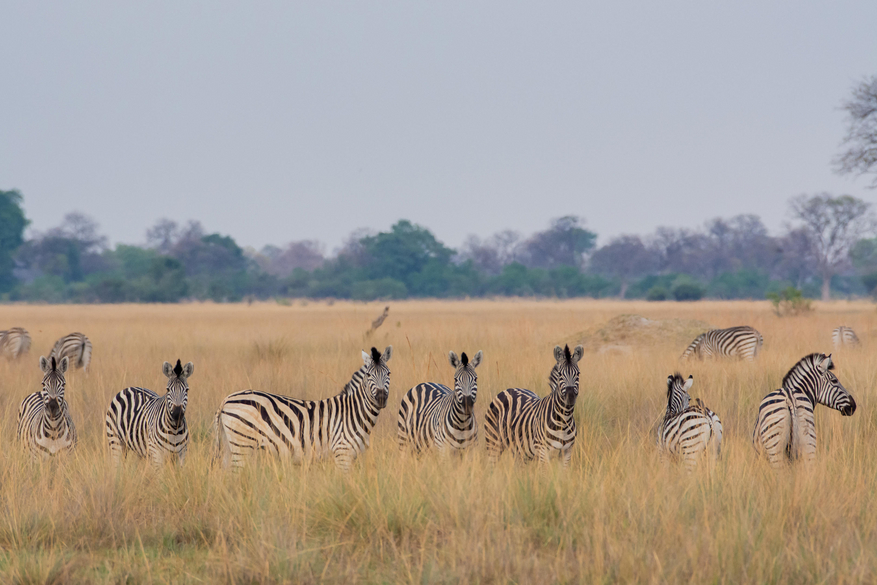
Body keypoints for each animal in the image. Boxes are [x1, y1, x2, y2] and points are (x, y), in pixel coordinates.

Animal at [212, 344, 390, 472]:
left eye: (388, 373)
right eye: (368, 375)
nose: (381, 398)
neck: (354, 412)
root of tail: (226, 399)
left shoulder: (349, 456)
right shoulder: (342, 453)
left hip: (230, 444)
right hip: (242, 445)